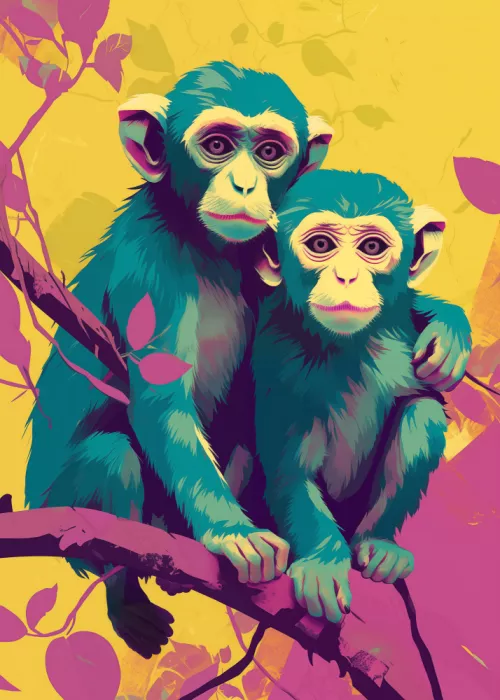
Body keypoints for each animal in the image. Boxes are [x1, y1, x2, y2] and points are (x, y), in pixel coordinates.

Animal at [251, 168, 459, 625]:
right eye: (321, 246)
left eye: (372, 248)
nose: (346, 276)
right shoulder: (276, 352)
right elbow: (291, 471)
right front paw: (322, 563)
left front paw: (453, 333)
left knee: (422, 412)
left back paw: (378, 543)